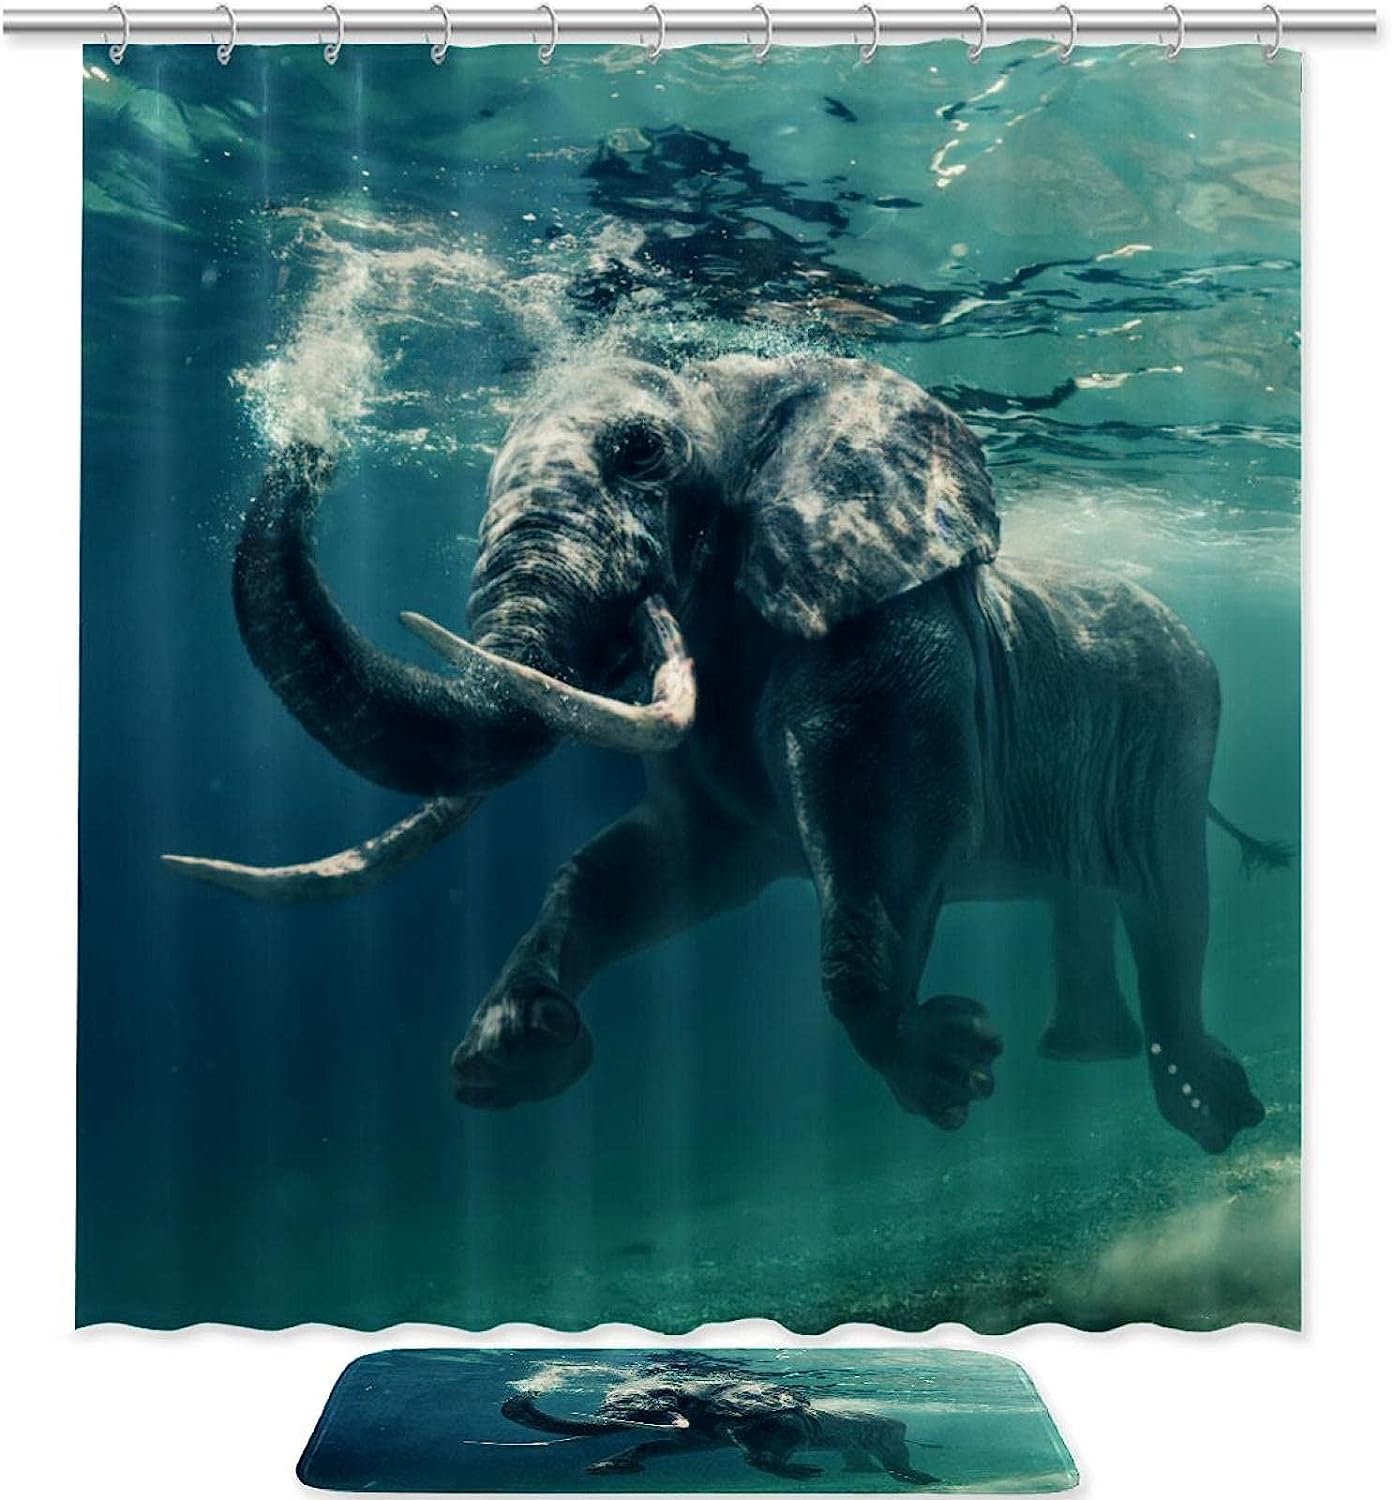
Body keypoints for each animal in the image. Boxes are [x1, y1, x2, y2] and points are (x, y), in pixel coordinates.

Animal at [164, 353, 1291, 1152]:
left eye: (639, 452)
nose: (309, 433)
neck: (737, 389)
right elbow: (651, 864)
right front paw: (513, 1052)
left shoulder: (890, 634)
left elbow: (890, 832)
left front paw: (951, 1071)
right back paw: (1092, 1059)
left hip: (1180, 730)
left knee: (1171, 899)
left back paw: (1213, 1114)